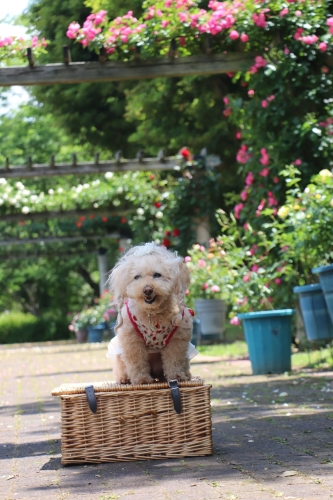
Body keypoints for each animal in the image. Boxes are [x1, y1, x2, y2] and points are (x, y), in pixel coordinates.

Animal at [106, 244, 196, 384]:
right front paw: (142, 379)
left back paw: (185, 375)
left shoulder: (178, 340)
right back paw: (124, 378)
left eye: (157, 275)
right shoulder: (132, 342)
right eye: (137, 277)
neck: (152, 313)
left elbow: (175, 360)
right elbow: (137, 362)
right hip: (120, 356)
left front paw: (176, 376)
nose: (147, 290)